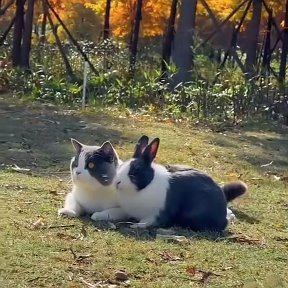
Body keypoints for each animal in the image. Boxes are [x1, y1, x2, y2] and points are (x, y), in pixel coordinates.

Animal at [113, 135, 246, 232]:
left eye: (136, 170)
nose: (117, 182)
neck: (146, 185)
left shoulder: (156, 213)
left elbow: (147, 221)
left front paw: (135, 226)